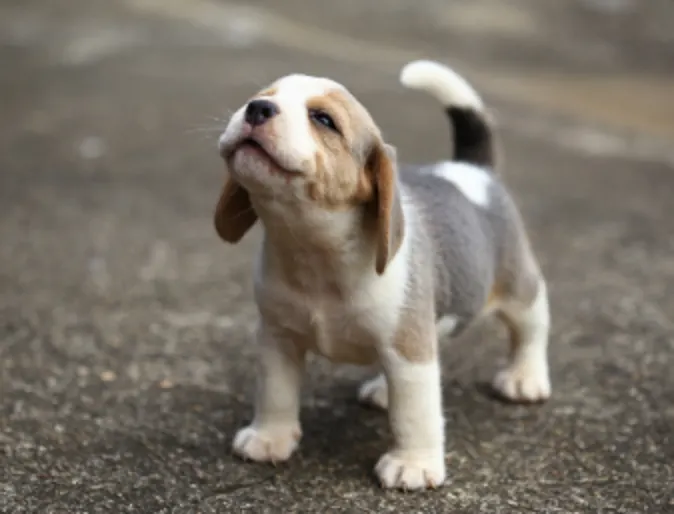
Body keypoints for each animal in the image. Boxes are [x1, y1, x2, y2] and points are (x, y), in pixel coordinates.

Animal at [213, 59, 548, 488]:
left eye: (323, 119)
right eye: (262, 96)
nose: (257, 109)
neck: (314, 251)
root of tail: (472, 169)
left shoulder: (410, 350)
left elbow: (415, 413)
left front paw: (413, 464)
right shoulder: (278, 338)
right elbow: (276, 393)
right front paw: (269, 438)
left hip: (518, 288)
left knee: (531, 328)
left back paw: (525, 377)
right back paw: (382, 391)